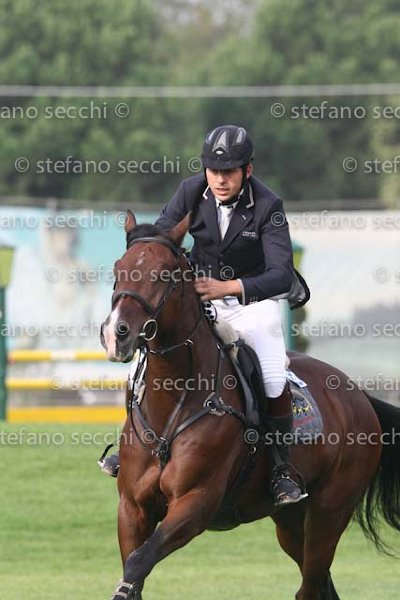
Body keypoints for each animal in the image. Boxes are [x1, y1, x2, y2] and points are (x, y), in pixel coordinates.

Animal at [100, 209, 400, 600]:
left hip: (329, 513)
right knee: (320, 581)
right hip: (290, 524)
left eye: (165, 273)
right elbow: (134, 568)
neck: (174, 403)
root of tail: (358, 396)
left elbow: (137, 564)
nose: (116, 333)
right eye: (119, 268)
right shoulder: (133, 508)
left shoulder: (196, 503)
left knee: (310, 583)